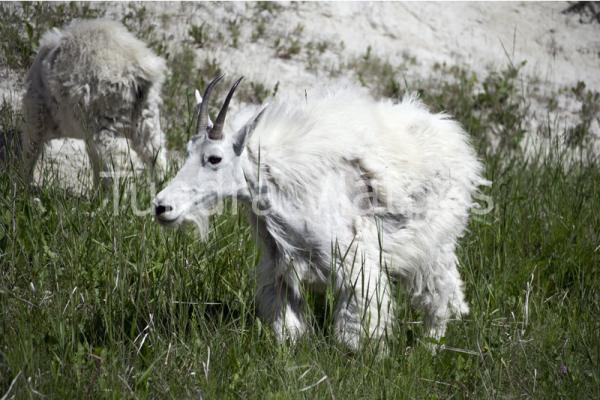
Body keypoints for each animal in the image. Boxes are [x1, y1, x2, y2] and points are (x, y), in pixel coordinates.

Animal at [21, 19, 166, 185]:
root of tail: (139, 70)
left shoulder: (36, 109)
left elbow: (31, 148)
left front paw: (23, 184)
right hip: (146, 117)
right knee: (156, 155)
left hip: (105, 121)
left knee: (116, 161)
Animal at [152, 76, 486, 352]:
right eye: (187, 152)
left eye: (214, 158)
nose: (162, 207)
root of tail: (454, 137)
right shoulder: (280, 268)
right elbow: (287, 323)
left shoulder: (354, 262)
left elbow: (355, 327)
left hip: (433, 243)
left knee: (440, 294)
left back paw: (429, 347)